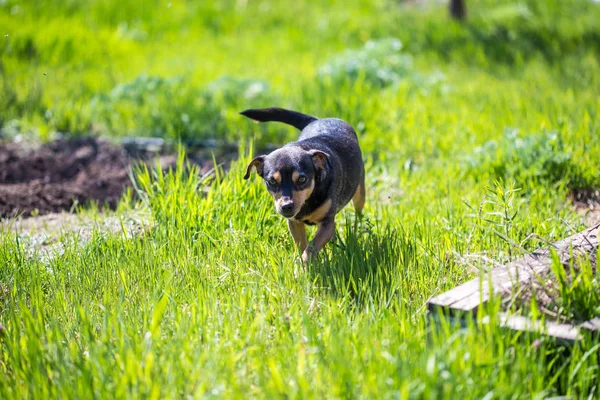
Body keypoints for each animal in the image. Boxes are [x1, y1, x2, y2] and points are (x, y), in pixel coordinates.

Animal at [240, 107, 364, 262]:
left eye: (302, 179)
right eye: (272, 181)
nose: (286, 206)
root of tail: (317, 120)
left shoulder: (327, 223)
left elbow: (310, 248)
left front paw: (305, 264)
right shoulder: (294, 223)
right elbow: (302, 246)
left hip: (359, 193)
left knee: (358, 213)